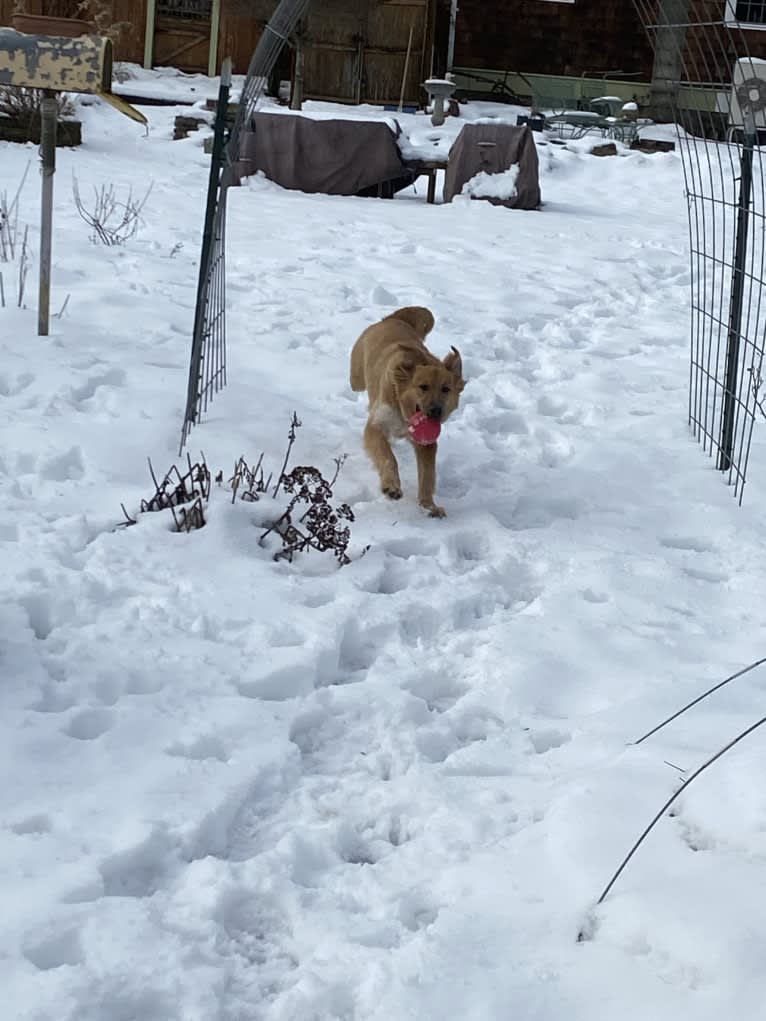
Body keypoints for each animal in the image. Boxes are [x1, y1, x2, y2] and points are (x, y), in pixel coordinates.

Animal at [351, 304, 465, 518]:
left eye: (446, 389)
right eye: (423, 387)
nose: (436, 411)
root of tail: (393, 319)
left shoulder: (426, 444)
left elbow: (427, 475)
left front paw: (429, 505)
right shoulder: (376, 426)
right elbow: (388, 457)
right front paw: (391, 486)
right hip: (356, 379)